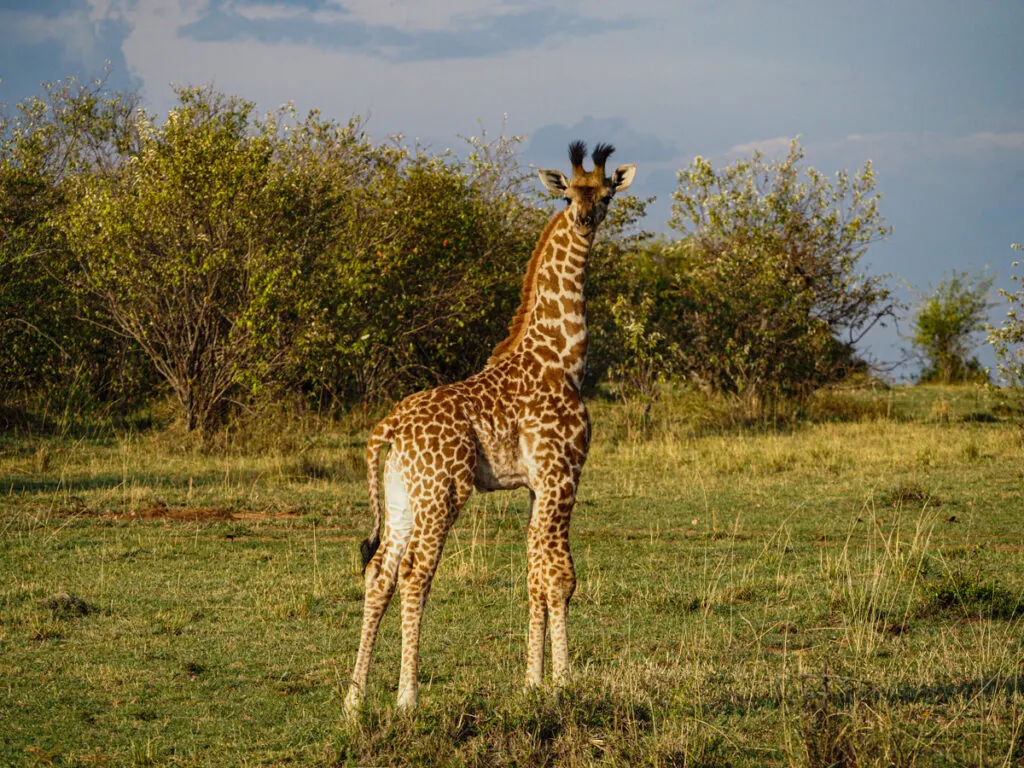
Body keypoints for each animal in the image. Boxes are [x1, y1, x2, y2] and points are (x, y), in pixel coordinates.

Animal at [344, 140, 630, 716]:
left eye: (606, 193)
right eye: (569, 193)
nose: (585, 219)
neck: (563, 358)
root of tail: (388, 427)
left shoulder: (537, 485)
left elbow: (536, 574)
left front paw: (534, 683)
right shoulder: (563, 473)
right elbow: (561, 576)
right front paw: (565, 683)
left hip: (402, 495)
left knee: (379, 572)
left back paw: (355, 700)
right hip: (441, 493)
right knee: (415, 573)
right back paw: (407, 697)